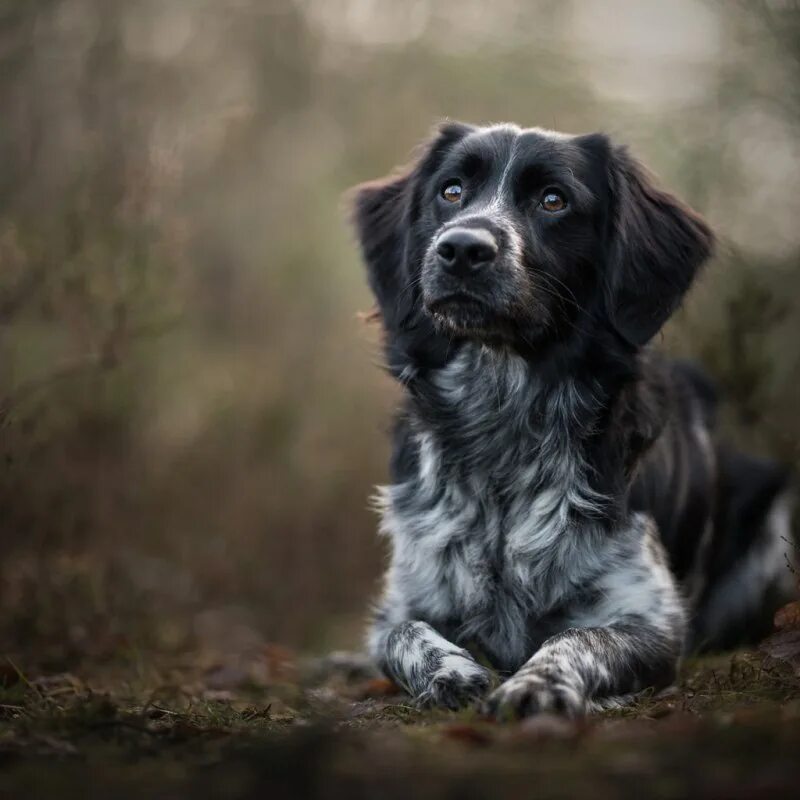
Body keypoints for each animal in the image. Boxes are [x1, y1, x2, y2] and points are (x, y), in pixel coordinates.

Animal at [350, 123, 792, 720]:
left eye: (553, 200)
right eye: (451, 191)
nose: (462, 248)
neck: (502, 419)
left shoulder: (653, 623)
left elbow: (577, 638)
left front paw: (538, 685)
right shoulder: (402, 602)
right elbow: (404, 635)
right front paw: (452, 671)